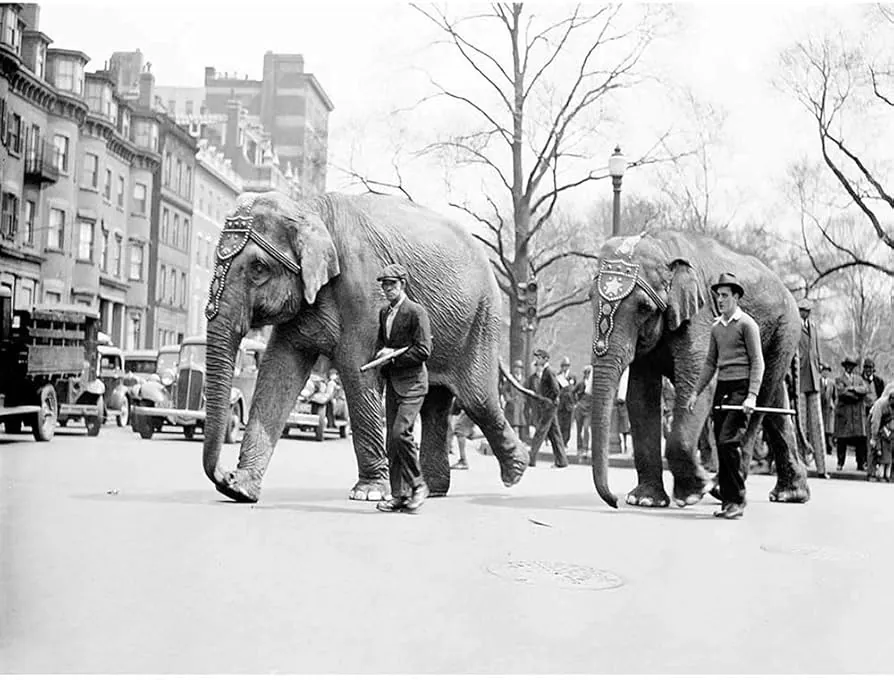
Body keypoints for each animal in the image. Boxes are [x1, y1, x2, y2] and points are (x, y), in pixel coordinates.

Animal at [201, 190, 530, 503]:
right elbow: (278, 370)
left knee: (477, 399)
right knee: (435, 403)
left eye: (258, 268)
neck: (308, 210)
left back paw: (515, 471)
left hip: (483, 318)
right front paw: (240, 490)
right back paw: (433, 489)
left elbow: (356, 367)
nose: (224, 475)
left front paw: (368, 493)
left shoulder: (363, 289)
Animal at [587, 231, 810, 509]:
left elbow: (698, 379)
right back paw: (789, 495)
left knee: (760, 397)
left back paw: (724, 489)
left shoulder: (700, 315)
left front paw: (696, 491)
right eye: (590, 300)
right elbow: (641, 396)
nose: (615, 501)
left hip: (785, 328)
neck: (661, 246)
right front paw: (645, 500)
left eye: (644, 308)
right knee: (775, 401)